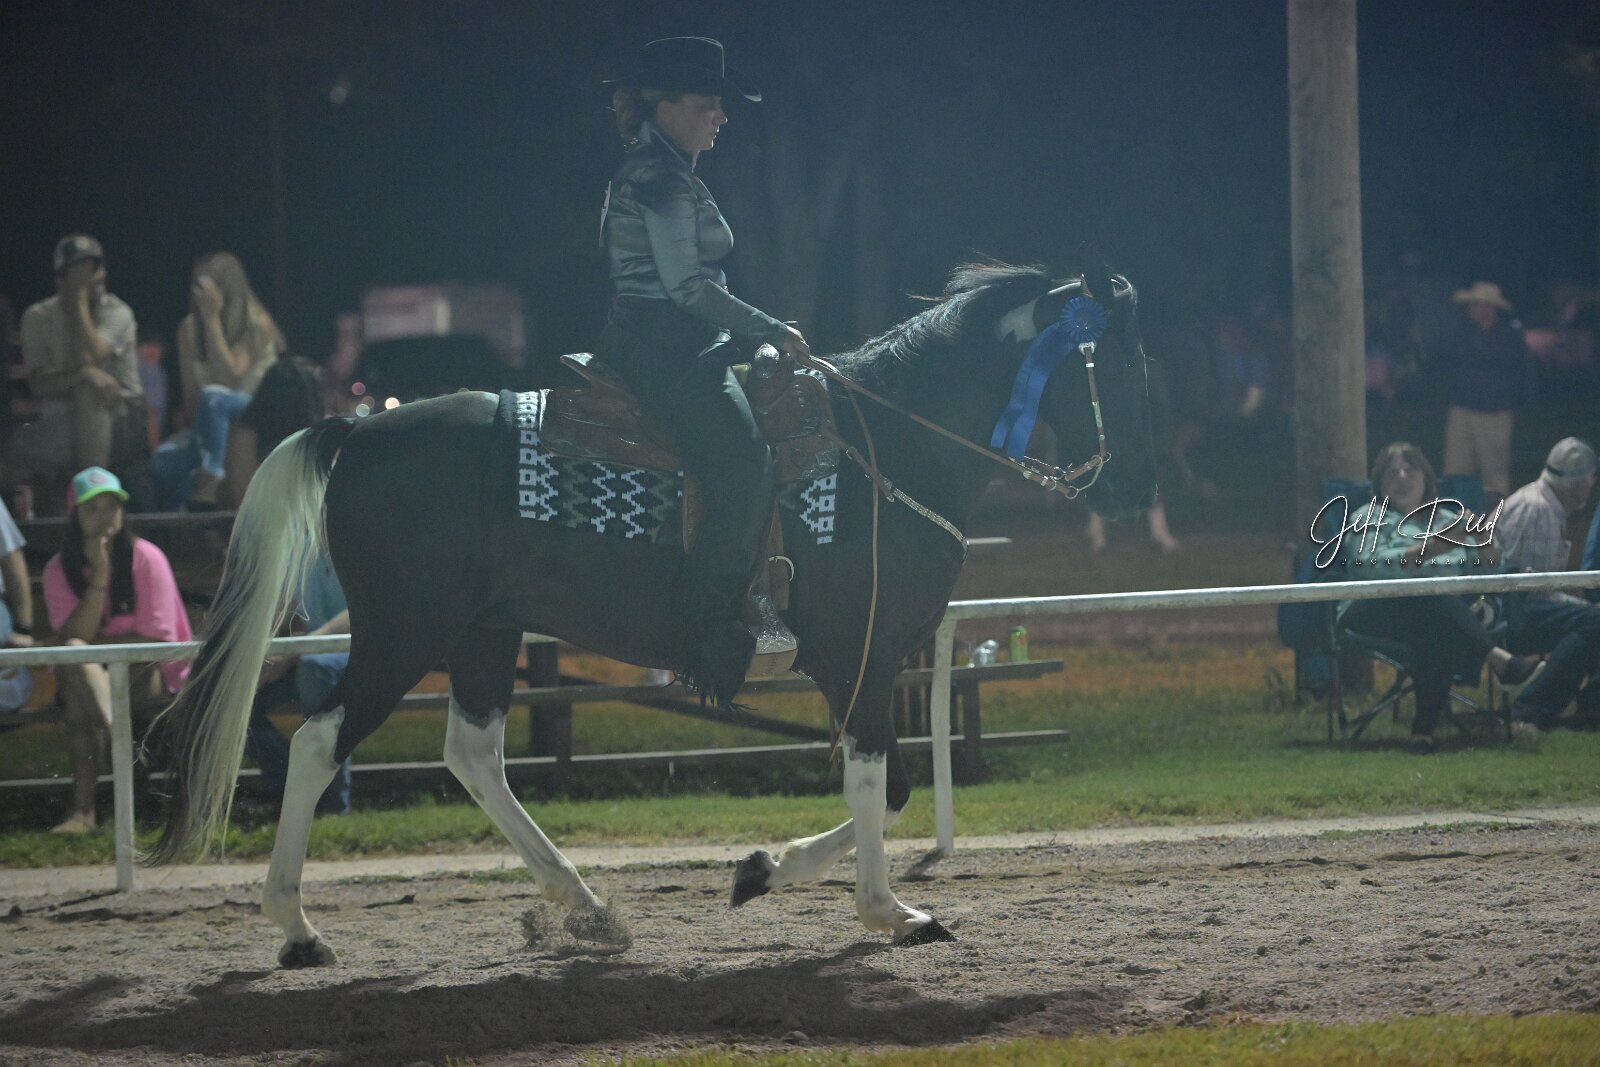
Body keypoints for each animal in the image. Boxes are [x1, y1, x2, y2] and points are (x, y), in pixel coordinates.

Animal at [145, 261, 1157, 966]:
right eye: (1115, 359)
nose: (1136, 489)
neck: (886, 449)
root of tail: (355, 427)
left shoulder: (868, 663)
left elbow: (895, 787)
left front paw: (761, 871)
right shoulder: (854, 657)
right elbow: (878, 780)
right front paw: (892, 913)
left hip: (483, 632)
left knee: (473, 754)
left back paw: (588, 909)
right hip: (403, 633)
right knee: (320, 743)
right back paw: (298, 928)